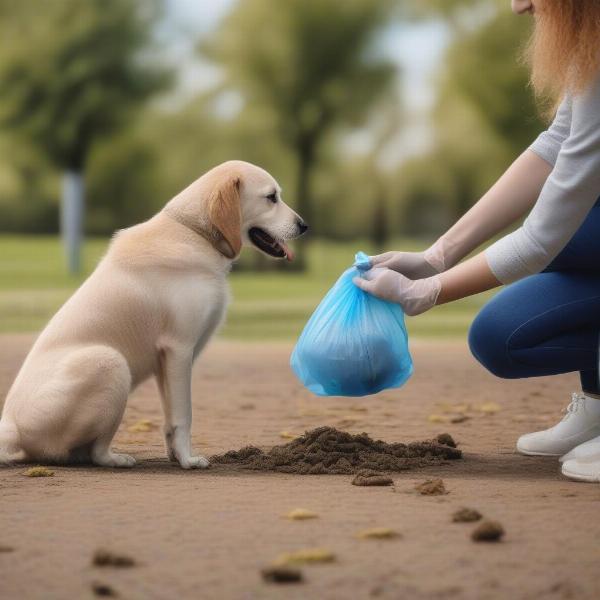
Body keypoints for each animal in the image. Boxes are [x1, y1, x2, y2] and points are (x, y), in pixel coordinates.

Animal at [0, 161, 308, 468]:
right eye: (271, 197)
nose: (304, 226)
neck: (195, 233)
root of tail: (12, 429)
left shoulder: (165, 360)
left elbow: (170, 418)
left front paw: (176, 456)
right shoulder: (179, 349)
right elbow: (185, 415)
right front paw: (188, 461)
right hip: (110, 363)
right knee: (96, 452)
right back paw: (117, 459)